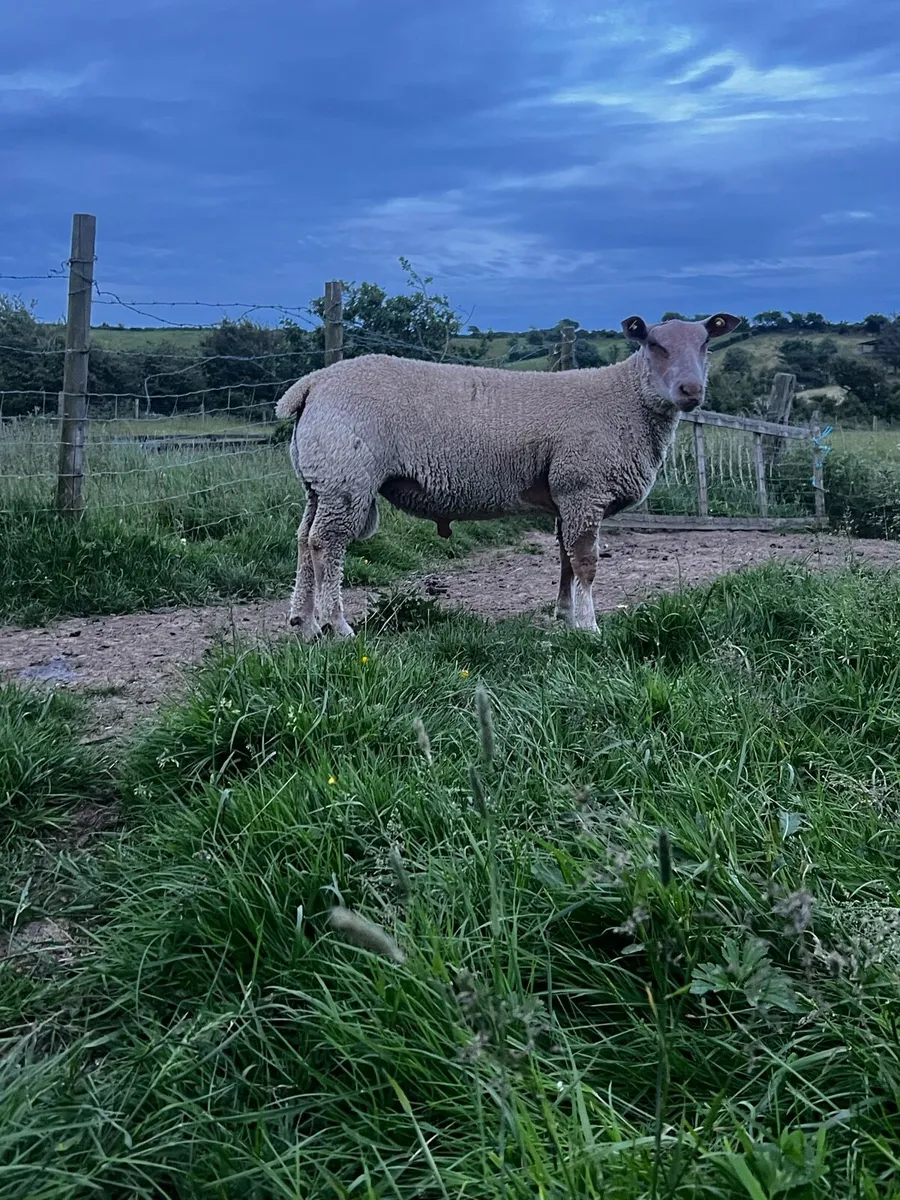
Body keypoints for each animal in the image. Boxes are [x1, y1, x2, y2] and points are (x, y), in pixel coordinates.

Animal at [274, 311, 741, 640]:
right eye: (654, 344)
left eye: (706, 344)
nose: (691, 391)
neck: (626, 400)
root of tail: (311, 385)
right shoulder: (583, 488)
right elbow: (586, 562)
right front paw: (589, 626)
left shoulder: (566, 496)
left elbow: (565, 558)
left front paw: (564, 614)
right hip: (346, 476)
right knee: (326, 544)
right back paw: (338, 626)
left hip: (320, 478)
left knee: (303, 540)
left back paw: (304, 623)